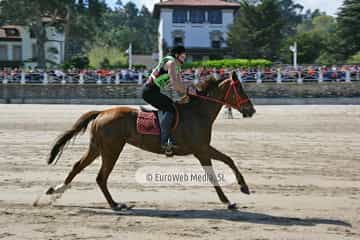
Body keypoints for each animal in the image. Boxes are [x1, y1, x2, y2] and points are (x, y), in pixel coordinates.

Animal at [45, 71, 256, 210]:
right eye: (239, 89)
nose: (251, 110)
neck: (198, 113)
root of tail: (102, 112)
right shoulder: (201, 150)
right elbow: (215, 173)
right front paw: (229, 199)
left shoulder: (204, 148)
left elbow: (229, 159)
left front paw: (243, 188)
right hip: (112, 149)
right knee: (100, 177)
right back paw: (114, 204)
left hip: (97, 147)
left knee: (78, 166)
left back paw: (57, 190)